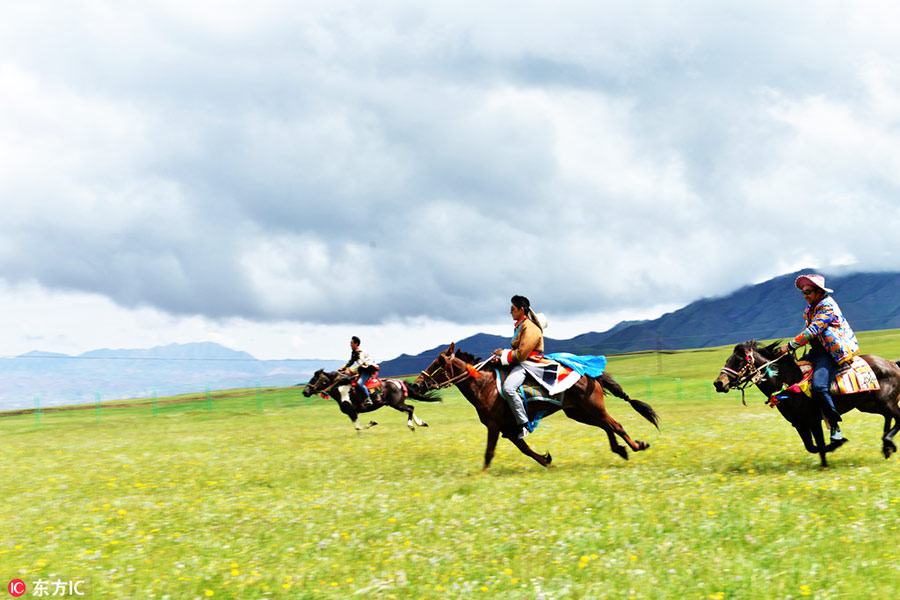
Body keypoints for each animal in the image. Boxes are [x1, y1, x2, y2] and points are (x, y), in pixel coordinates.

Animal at [304, 370, 442, 432]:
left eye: (314, 379)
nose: (305, 392)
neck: (342, 391)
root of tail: (399, 382)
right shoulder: (352, 414)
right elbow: (357, 427)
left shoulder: (352, 412)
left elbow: (358, 427)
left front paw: (372, 423)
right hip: (396, 404)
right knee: (410, 408)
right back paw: (421, 423)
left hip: (396, 404)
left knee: (410, 408)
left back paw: (412, 426)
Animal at [416, 344, 660, 472]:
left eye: (438, 363)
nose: (417, 383)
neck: (485, 386)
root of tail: (589, 374)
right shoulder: (509, 428)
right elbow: (525, 449)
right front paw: (546, 460)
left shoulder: (495, 426)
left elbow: (489, 452)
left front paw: (481, 475)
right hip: (580, 413)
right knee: (607, 426)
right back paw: (621, 449)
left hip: (592, 409)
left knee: (615, 425)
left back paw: (637, 446)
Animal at [712, 340, 900, 466]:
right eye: (727, 360)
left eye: (739, 360)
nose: (719, 383)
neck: (787, 379)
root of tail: (892, 363)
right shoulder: (799, 423)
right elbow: (812, 446)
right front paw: (833, 448)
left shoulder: (813, 420)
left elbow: (821, 444)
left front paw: (830, 455)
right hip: (869, 405)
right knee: (888, 418)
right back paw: (887, 447)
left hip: (886, 402)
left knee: (897, 418)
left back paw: (888, 443)